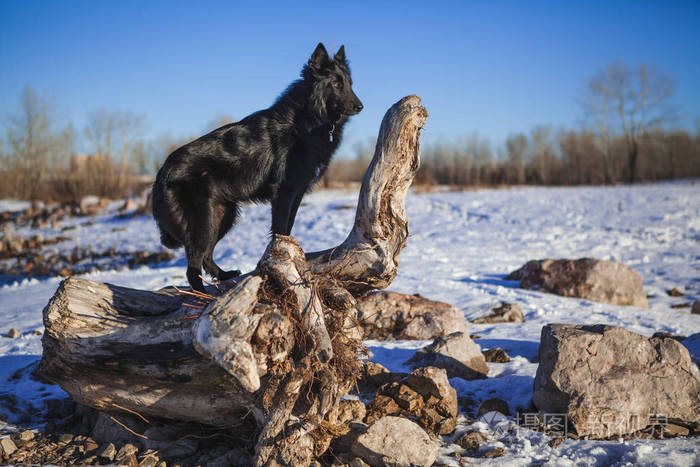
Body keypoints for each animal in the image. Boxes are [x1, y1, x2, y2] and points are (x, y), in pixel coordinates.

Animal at [152, 44, 360, 292]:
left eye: (350, 83)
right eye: (336, 84)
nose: (360, 106)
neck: (309, 118)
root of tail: (161, 174)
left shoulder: (298, 191)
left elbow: (288, 228)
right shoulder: (284, 191)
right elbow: (281, 228)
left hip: (223, 216)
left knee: (205, 255)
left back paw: (223, 276)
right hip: (204, 220)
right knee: (193, 263)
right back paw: (202, 293)